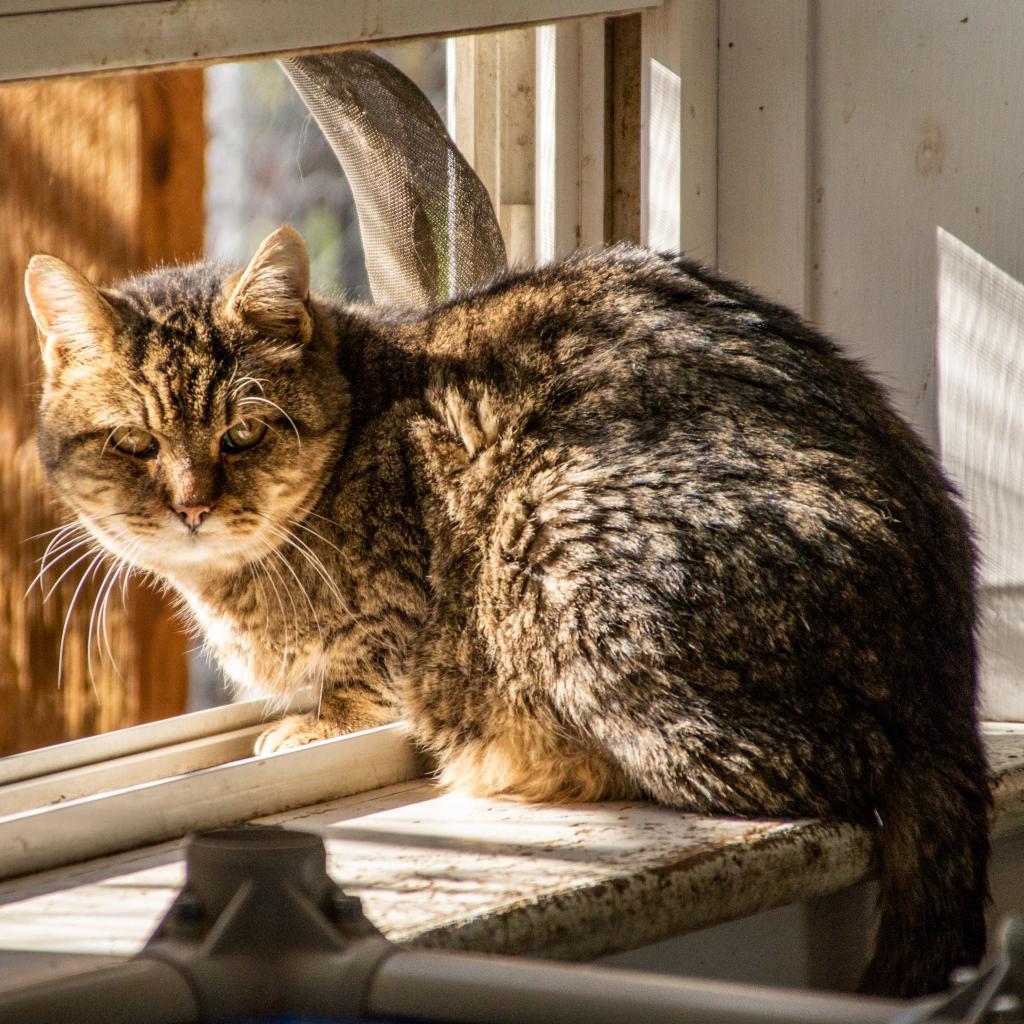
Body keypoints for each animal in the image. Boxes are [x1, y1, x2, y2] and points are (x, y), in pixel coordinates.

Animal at [25, 226, 991, 999]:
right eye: (135, 443)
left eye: (244, 433)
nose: (193, 504)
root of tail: (945, 670)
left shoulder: (400, 604)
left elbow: (365, 671)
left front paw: (315, 721)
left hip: (554, 540)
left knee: (806, 764)